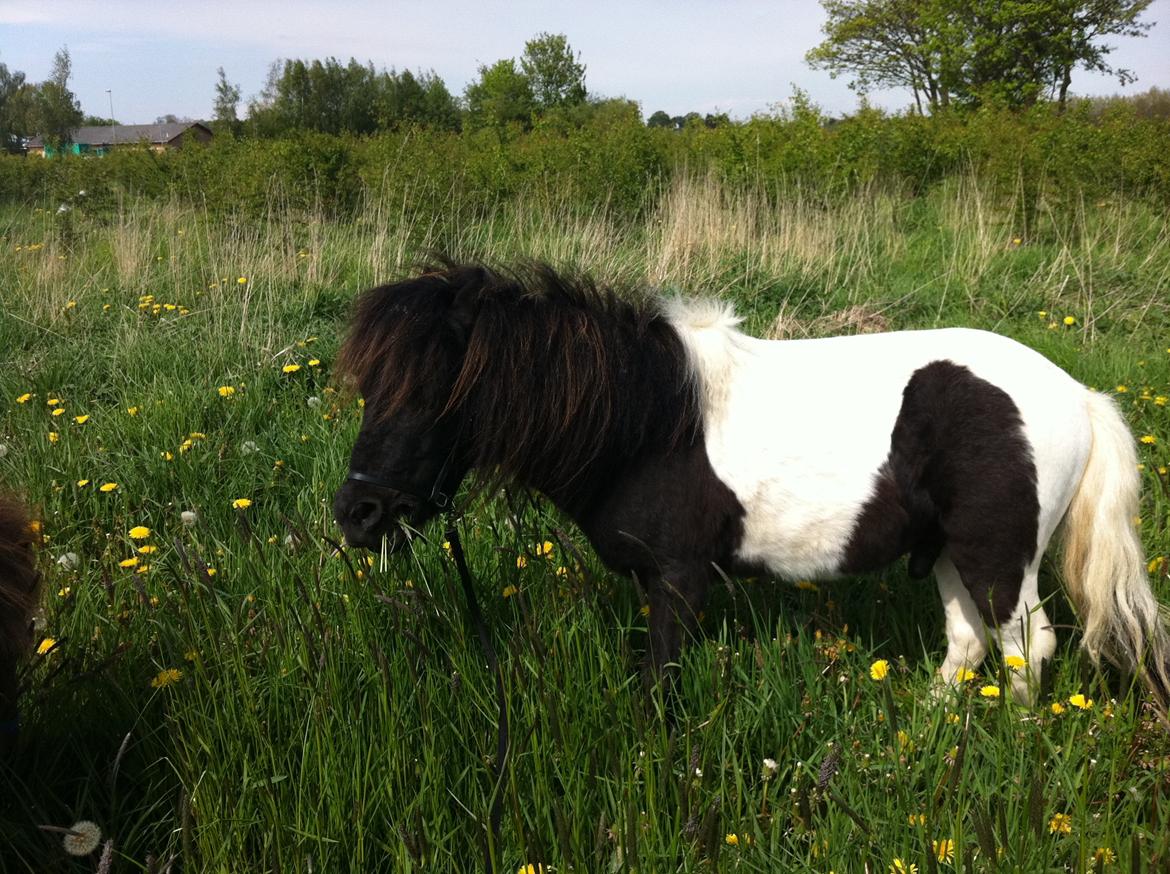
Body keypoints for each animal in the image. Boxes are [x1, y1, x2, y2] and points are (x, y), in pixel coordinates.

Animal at [329, 263, 1170, 706]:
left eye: (431, 394)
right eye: (370, 389)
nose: (358, 513)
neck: (648, 421)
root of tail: (1078, 395)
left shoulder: (678, 577)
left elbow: (661, 679)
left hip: (999, 554)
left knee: (1027, 646)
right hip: (950, 550)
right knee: (970, 643)